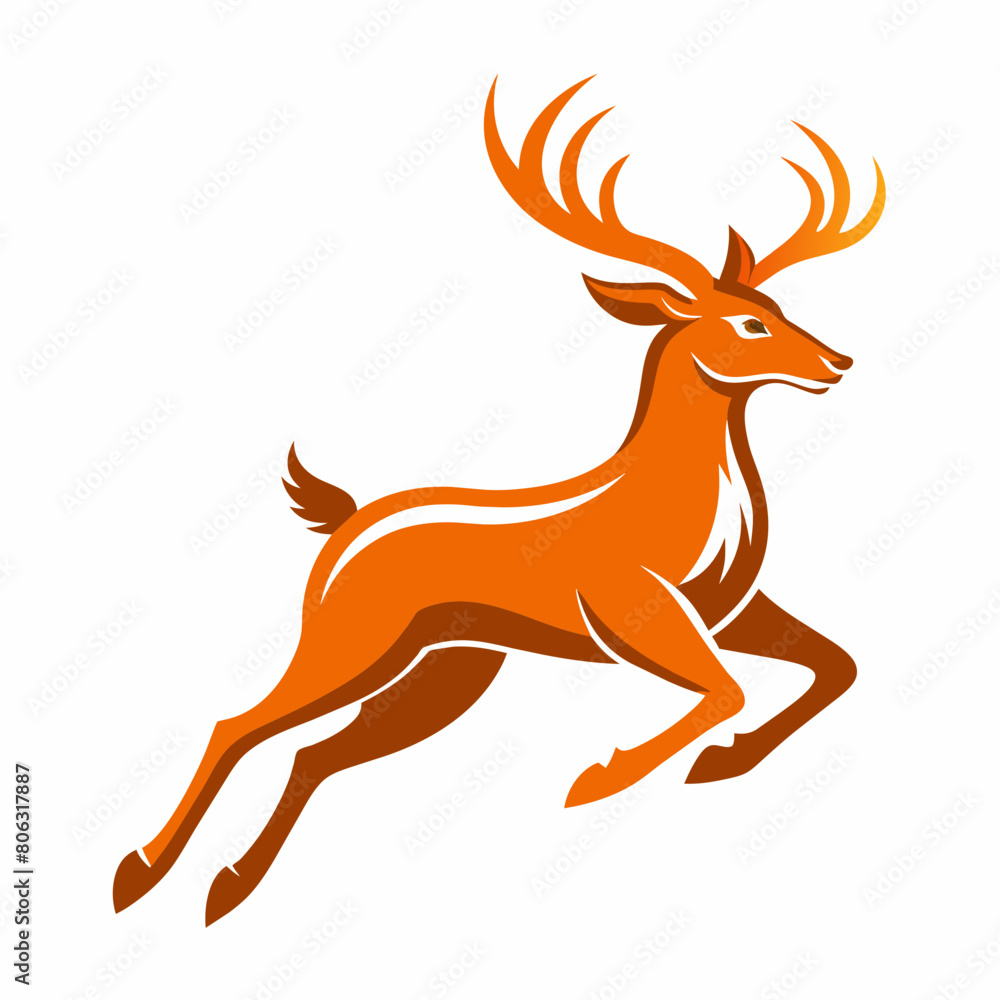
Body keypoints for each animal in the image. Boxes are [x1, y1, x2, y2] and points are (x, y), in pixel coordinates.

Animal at [113, 76, 884, 925]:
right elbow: (728, 689)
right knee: (238, 724)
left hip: (448, 669)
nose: (838, 362)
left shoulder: (731, 609)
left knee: (315, 752)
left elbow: (836, 665)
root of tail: (345, 522)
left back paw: (229, 887)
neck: (687, 496)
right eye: (749, 323)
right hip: (351, 642)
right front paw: (599, 780)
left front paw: (722, 763)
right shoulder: (631, 606)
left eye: (780, 309)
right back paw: (138, 872)